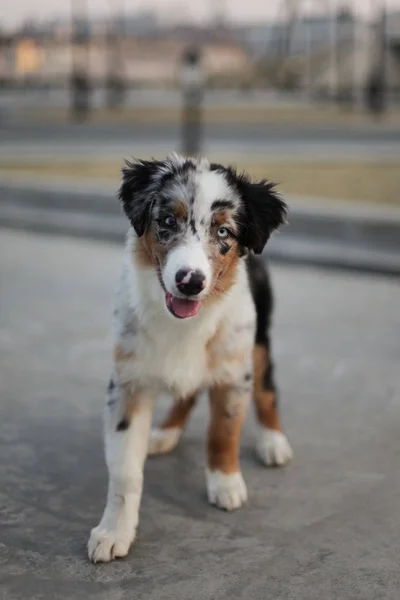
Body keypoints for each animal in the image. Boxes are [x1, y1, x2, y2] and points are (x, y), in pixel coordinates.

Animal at [88, 154, 294, 564]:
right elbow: (125, 472)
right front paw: (114, 531)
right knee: (189, 391)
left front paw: (226, 484)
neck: (184, 323)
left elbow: (223, 431)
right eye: (168, 221)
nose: (190, 281)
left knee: (267, 389)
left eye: (224, 232)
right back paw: (165, 433)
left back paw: (272, 440)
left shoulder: (234, 372)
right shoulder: (128, 382)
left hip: (259, 339)